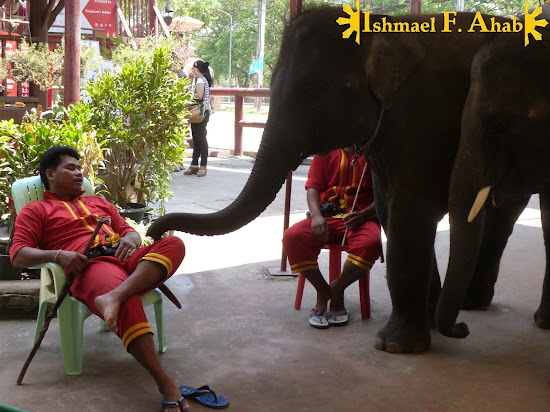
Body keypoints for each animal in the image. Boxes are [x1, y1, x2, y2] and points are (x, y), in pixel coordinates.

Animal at [150, 8, 536, 352]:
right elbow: (389, 206)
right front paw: (424, 324)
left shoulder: (426, 116)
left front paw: (396, 346)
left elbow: (410, 209)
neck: (380, 27)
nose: (154, 232)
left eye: (312, 89)